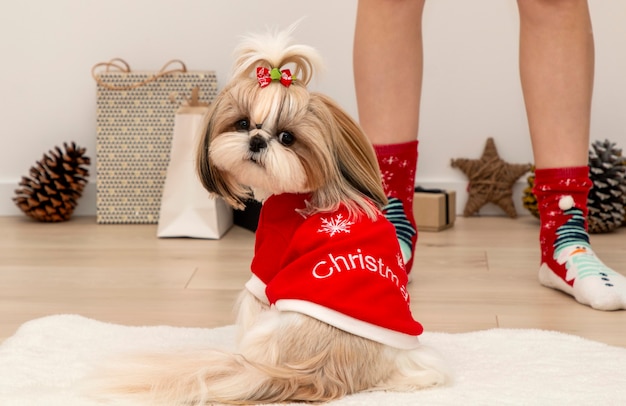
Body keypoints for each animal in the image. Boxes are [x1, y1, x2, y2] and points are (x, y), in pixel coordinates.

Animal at [95, 27, 448, 402]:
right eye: (242, 124)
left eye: (287, 137)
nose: (257, 140)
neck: (308, 189)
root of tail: (321, 369)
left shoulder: (267, 258)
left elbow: (256, 289)